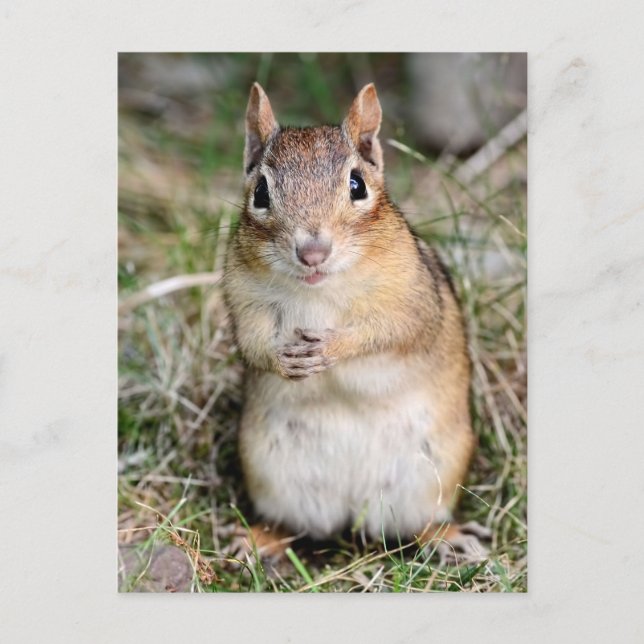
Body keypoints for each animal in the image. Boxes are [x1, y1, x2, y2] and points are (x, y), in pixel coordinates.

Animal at [223, 82, 489, 561]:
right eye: (261, 193)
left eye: (357, 185)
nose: (312, 252)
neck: (319, 291)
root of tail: (352, 512)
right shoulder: (243, 300)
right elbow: (252, 341)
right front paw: (282, 359)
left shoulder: (412, 301)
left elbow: (389, 333)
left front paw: (333, 347)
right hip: (270, 473)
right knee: (292, 526)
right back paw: (257, 539)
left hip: (433, 474)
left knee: (419, 525)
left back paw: (449, 538)